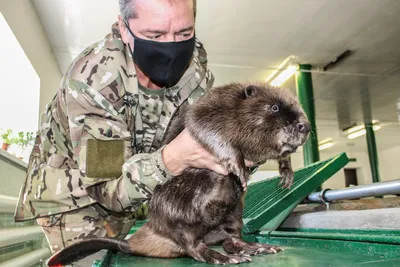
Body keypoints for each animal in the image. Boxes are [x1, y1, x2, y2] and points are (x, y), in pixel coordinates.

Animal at [46, 82, 310, 266]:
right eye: (274, 107)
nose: (305, 126)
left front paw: (286, 173)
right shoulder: (212, 108)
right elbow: (207, 129)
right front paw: (239, 168)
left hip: (234, 210)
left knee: (232, 239)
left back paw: (260, 248)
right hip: (179, 214)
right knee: (193, 246)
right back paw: (224, 258)